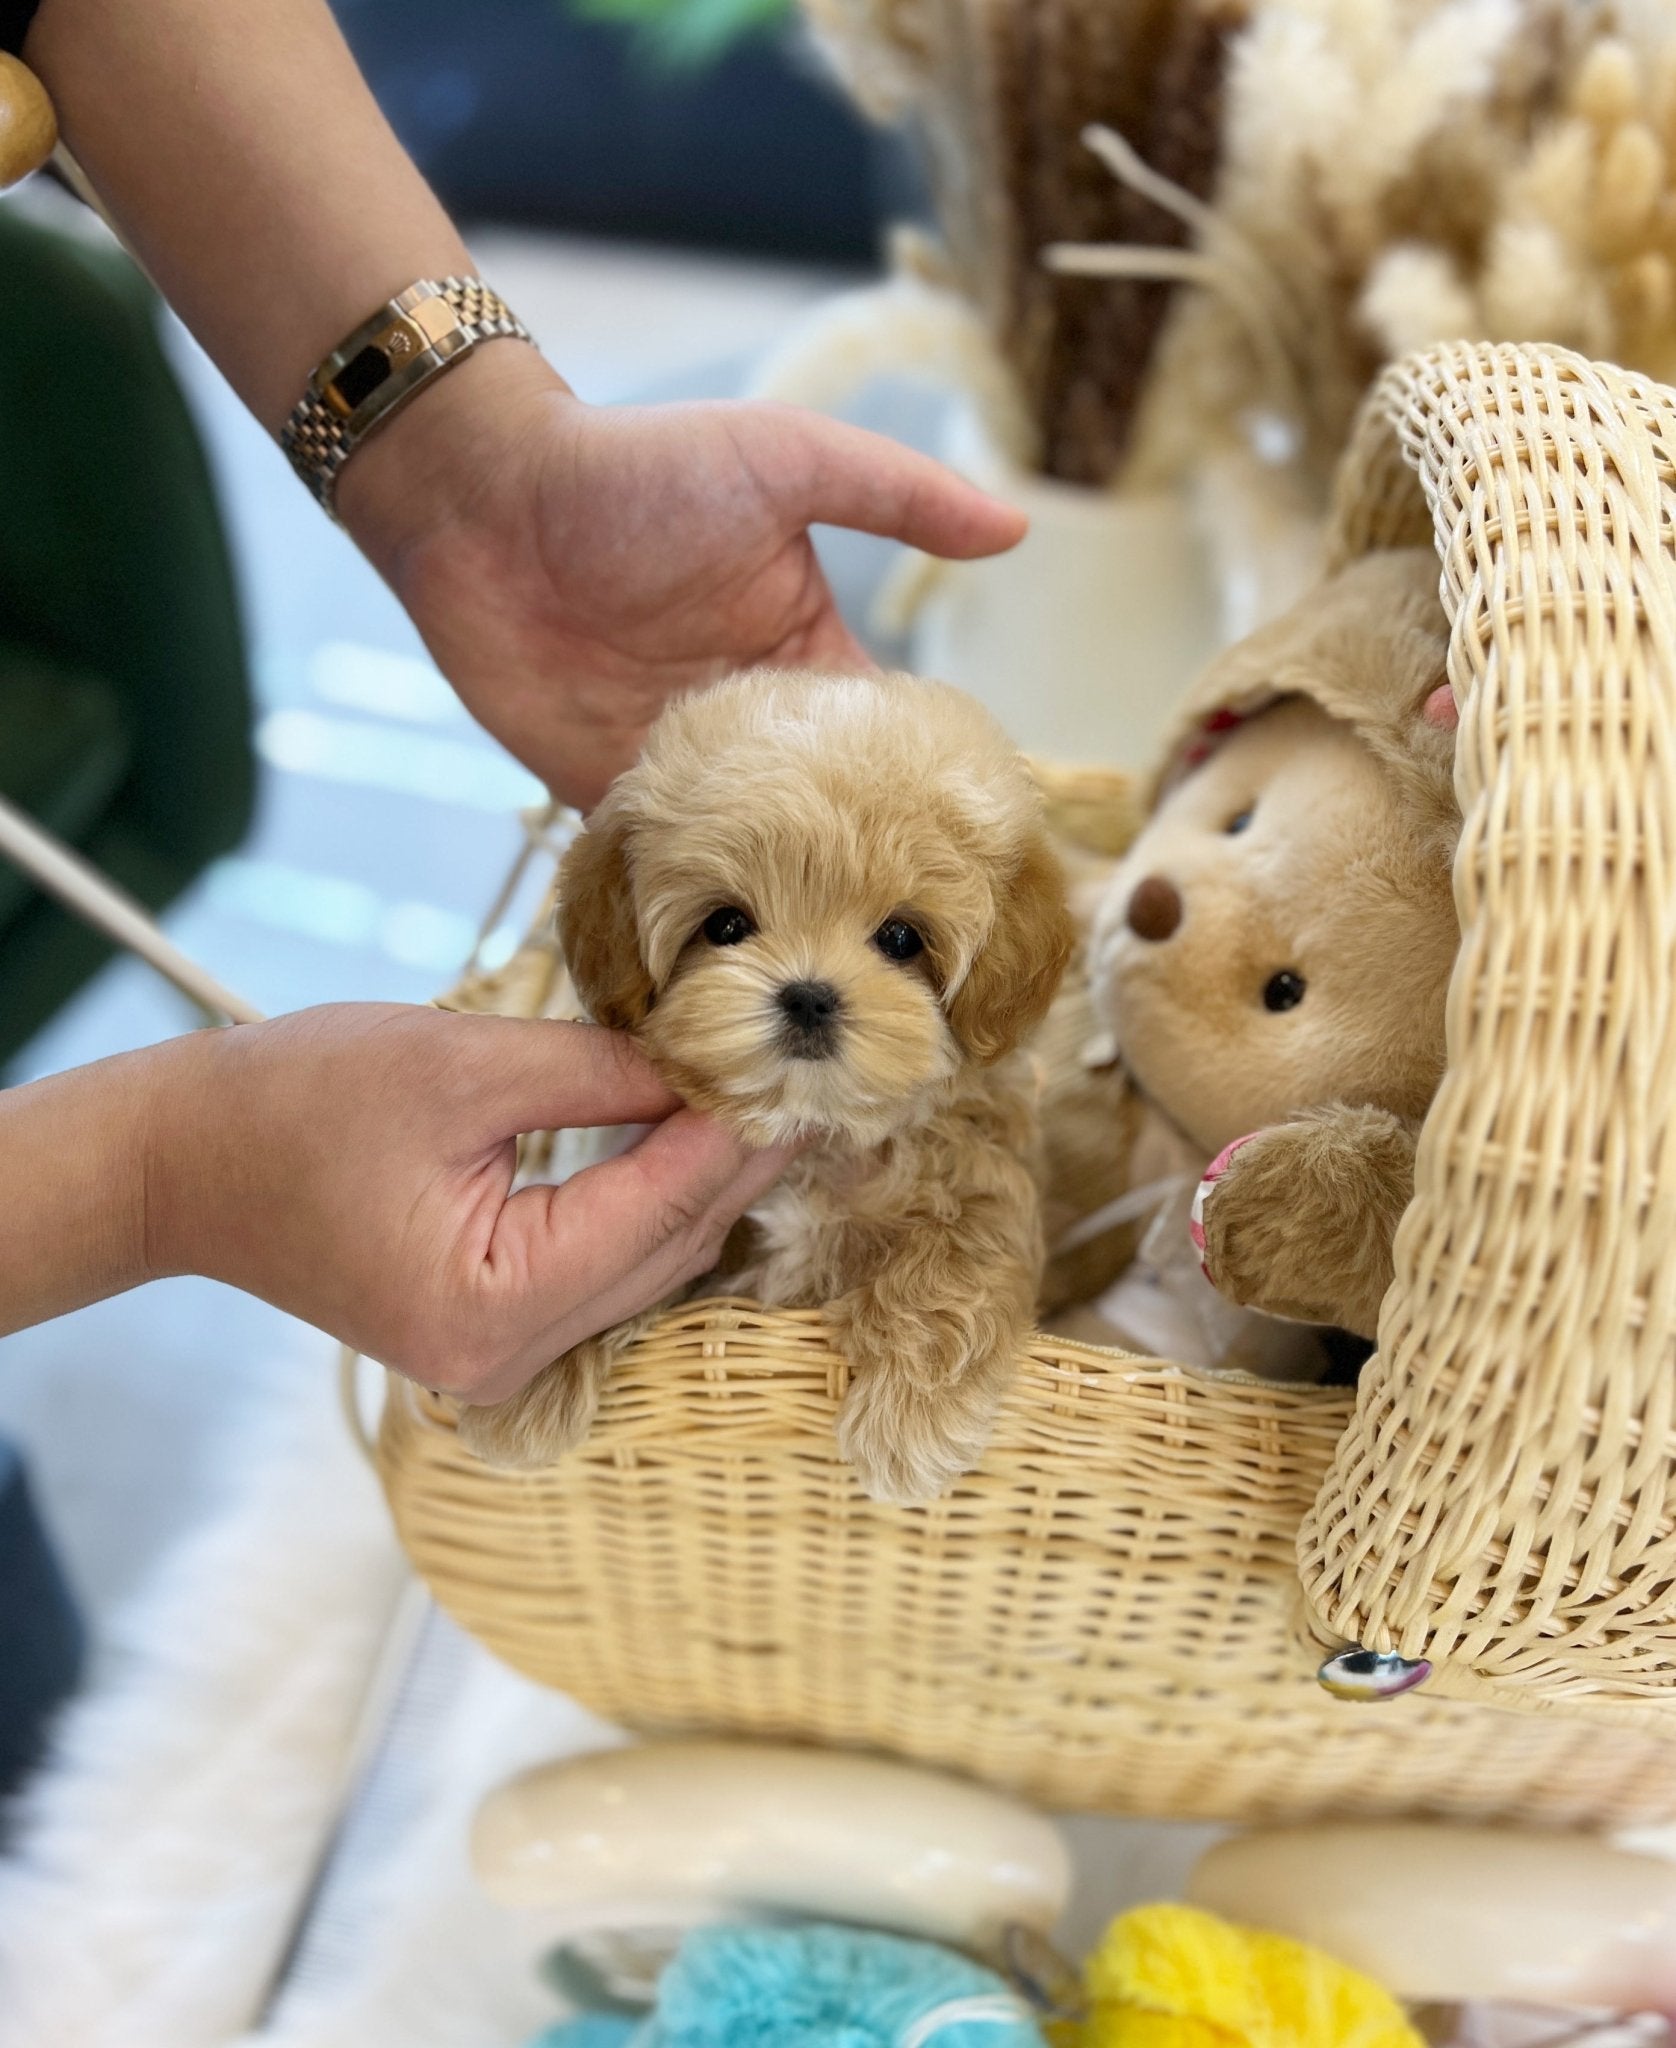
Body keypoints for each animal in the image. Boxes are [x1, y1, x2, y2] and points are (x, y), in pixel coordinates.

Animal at [454, 671, 1073, 1507]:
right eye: (724, 925)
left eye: (901, 938)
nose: (809, 996)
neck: (813, 1129)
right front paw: (526, 1385)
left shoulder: (982, 1177)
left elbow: (956, 1264)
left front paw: (911, 1421)